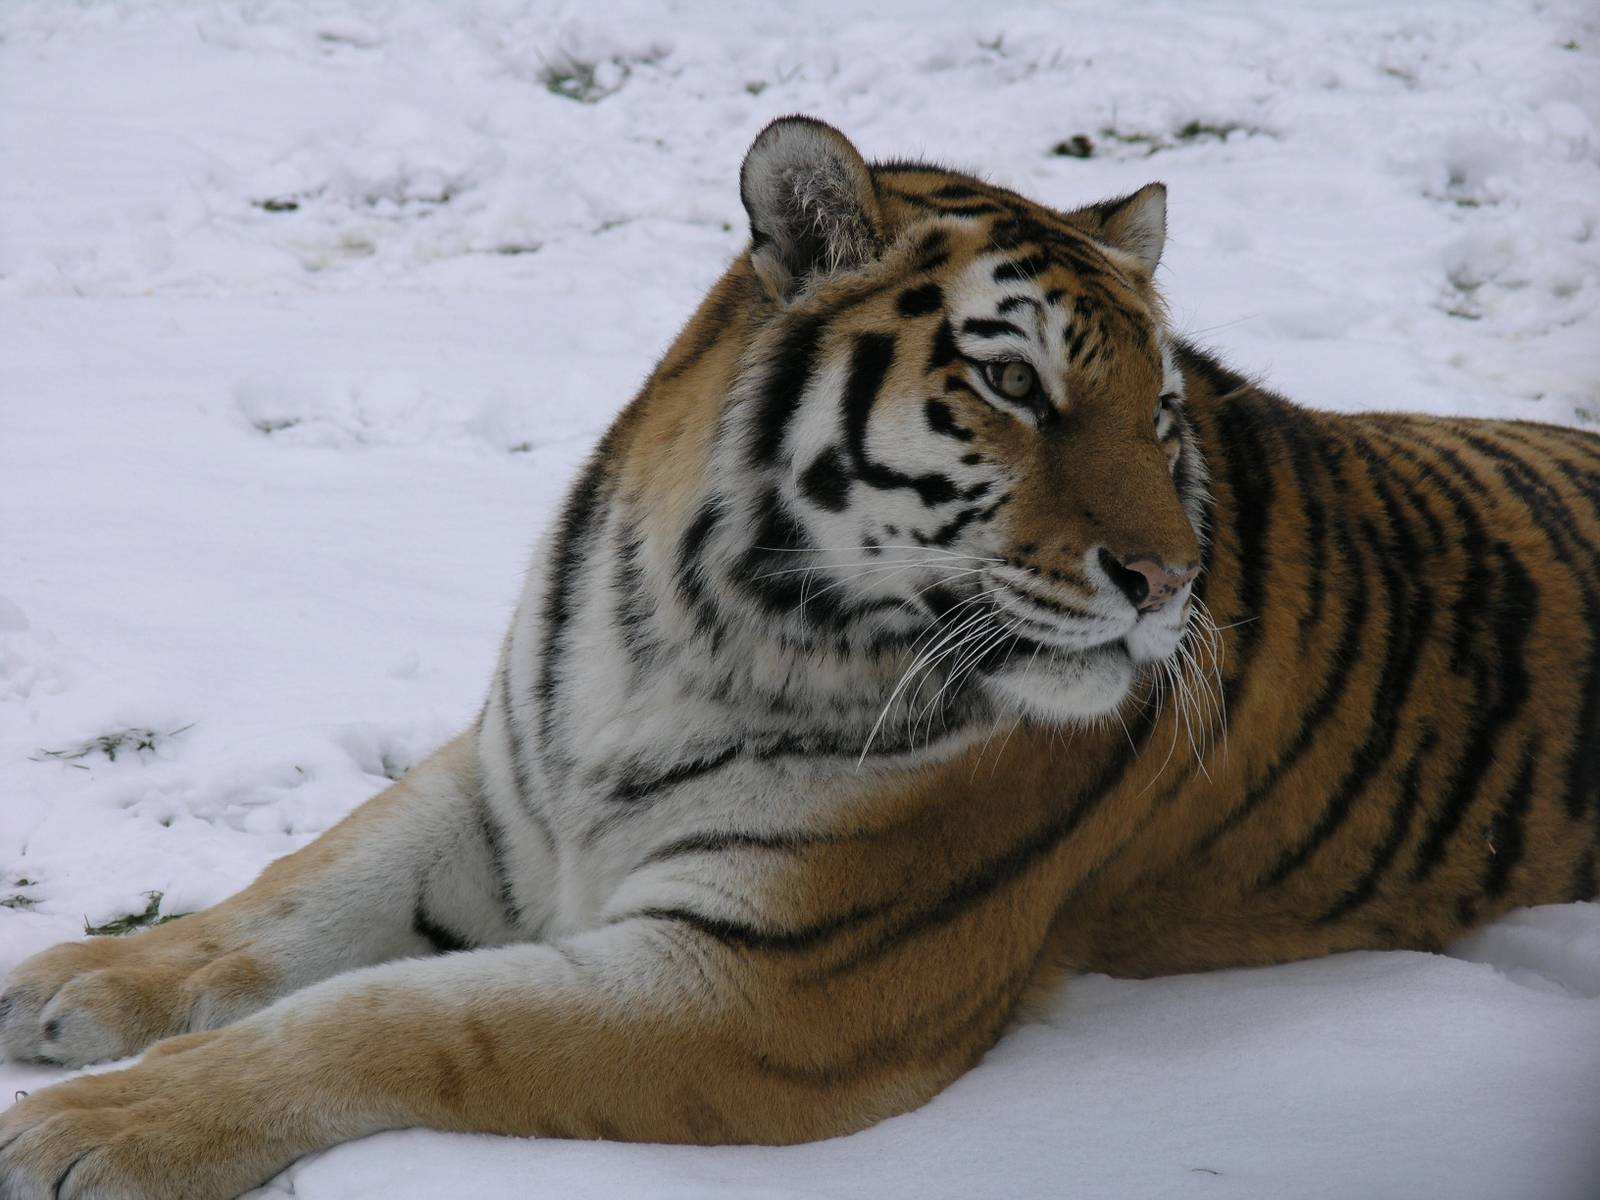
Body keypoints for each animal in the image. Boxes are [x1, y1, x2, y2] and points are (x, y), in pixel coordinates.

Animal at [2, 115, 1597, 1199]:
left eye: (1159, 416)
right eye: (1011, 381)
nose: (1168, 584)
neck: (685, 629)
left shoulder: (772, 989)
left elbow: (397, 1019)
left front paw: (96, 1130)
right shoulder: (512, 787)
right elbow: (300, 893)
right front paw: (75, 983)